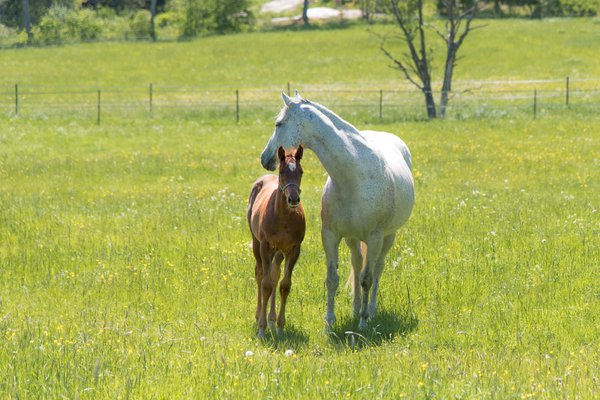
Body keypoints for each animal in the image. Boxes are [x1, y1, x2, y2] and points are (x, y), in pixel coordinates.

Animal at [247, 145, 304, 336]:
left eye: (301, 172)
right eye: (282, 171)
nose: (293, 199)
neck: (284, 217)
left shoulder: (294, 249)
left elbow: (284, 285)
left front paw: (279, 326)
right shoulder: (265, 246)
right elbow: (265, 285)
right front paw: (261, 328)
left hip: (279, 251)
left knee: (274, 274)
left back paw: (272, 321)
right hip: (257, 244)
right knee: (260, 273)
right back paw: (259, 316)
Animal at [260, 92, 414, 330]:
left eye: (279, 123)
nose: (265, 158)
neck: (353, 177)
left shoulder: (375, 237)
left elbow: (367, 279)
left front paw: (363, 323)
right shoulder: (330, 234)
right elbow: (332, 279)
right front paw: (329, 323)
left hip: (388, 237)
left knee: (377, 269)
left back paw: (370, 311)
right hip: (352, 238)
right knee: (357, 263)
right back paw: (356, 308)